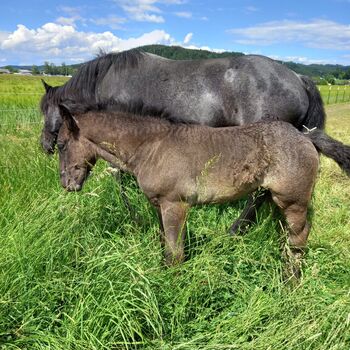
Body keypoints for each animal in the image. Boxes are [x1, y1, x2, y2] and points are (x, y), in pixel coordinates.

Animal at [41, 47, 350, 231]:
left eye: (45, 111)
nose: (45, 145)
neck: (109, 81)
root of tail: (298, 77)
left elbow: (120, 181)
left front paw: (135, 217)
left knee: (258, 195)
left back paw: (236, 229)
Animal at [55, 101, 320, 276]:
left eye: (60, 144)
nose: (67, 184)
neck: (152, 148)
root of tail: (305, 137)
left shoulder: (175, 205)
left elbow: (175, 254)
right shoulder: (159, 206)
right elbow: (164, 243)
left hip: (293, 201)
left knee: (299, 236)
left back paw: (291, 280)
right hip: (273, 198)